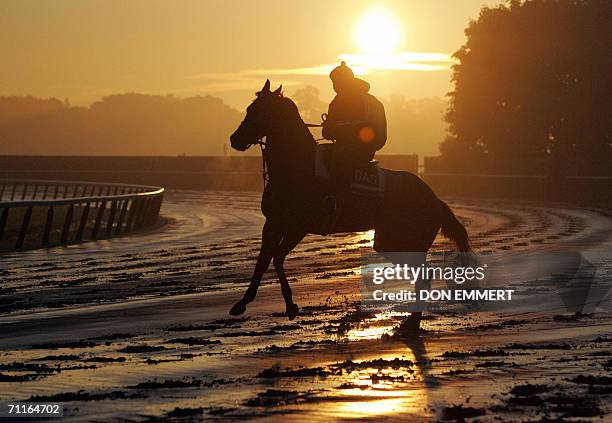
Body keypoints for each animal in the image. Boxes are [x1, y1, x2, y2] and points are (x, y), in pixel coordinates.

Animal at [227, 79, 470, 332]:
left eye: (257, 110)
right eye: (249, 109)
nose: (235, 139)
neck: (296, 168)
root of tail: (435, 200)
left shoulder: (298, 226)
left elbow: (276, 258)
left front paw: (291, 306)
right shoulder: (273, 223)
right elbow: (262, 261)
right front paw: (242, 303)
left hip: (406, 241)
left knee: (424, 275)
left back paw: (412, 322)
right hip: (388, 242)